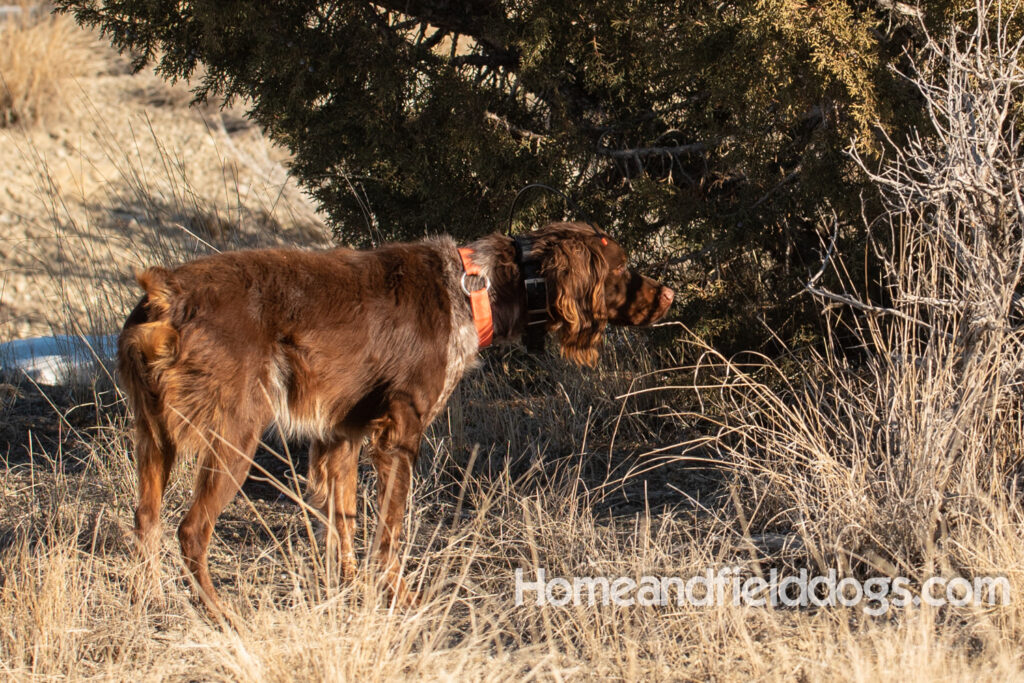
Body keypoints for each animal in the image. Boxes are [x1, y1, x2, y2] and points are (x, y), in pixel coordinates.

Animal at [117, 222, 671, 610]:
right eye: (620, 268)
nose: (668, 293)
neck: (474, 290)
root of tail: (165, 293)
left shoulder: (341, 436)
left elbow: (344, 526)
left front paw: (349, 590)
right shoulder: (398, 437)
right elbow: (390, 534)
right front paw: (400, 599)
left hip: (154, 435)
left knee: (146, 518)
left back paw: (151, 602)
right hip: (235, 435)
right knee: (191, 530)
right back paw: (224, 616)